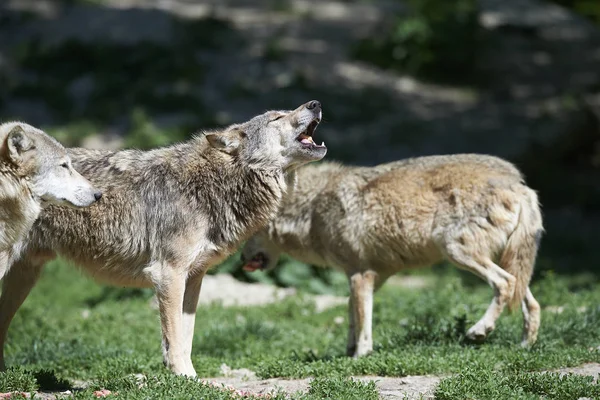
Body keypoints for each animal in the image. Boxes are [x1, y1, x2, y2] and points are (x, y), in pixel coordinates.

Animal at [240, 155, 544, 358]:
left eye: (246, 232)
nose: (241, 260)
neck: (312, 208)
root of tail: (519, 185)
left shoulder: (361, 274)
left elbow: (363, 322)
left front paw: (360, 356)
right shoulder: (370, 276)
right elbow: (352, 314)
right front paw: (348, 351)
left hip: (457, 251)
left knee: (504, 284)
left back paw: (480, 330)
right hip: (509, 262)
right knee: (531, 302)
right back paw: (524, 347)